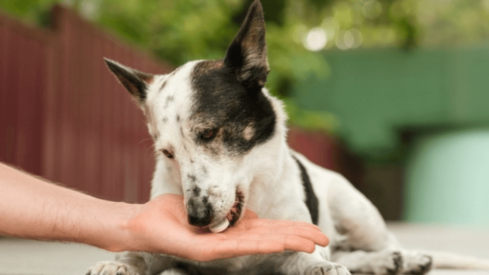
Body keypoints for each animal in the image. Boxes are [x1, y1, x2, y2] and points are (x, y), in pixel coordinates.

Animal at [86, 1, 488, 274]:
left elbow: (311, 258)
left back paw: (405, 257)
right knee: (348, 251)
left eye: (209, 132)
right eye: (167, 153)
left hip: (356, 211)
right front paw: (118, 264)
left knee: (382, 243)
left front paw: (321, 268)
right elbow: (137, 253)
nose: (196, 219)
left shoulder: (299, 242)